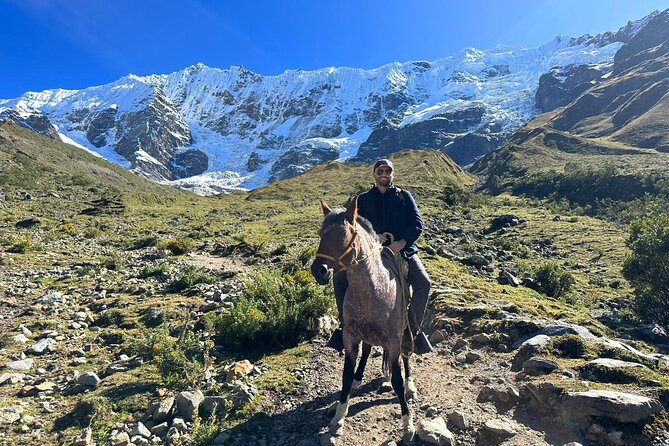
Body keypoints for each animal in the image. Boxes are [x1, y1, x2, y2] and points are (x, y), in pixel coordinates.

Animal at [310, 197, 414, 444]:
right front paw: (339, 416)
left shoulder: (393, 342)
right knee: (366, 351)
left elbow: (397, 381)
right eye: (321, 233)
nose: (319, 271)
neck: (373, 290)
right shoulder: (350, 337)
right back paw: (358, 380)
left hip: (404, 332)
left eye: (343, 233)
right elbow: (346, 376)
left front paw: (407, 425)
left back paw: (410, 385)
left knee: (406, 356)